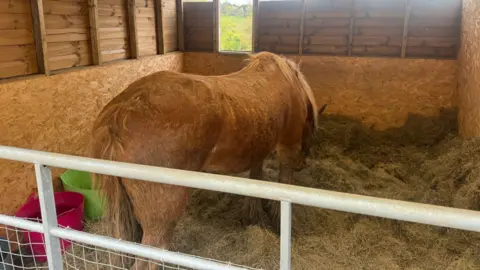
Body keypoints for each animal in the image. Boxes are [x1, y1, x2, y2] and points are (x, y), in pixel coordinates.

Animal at [90, 51, 326, 268]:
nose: (302, 164)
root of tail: (119, 113)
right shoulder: (287, 149)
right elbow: (284, 183)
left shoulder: (259, 148)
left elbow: (256, 177)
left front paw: (253, 216)